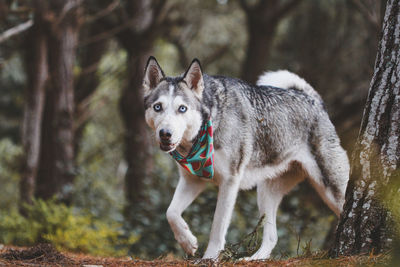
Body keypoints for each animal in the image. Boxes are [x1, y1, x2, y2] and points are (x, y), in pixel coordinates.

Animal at [142, 57, 348, 260]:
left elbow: (217, 227)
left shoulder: (229, 183)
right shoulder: (192, 180)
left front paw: (209, 258)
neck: (213, 117)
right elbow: (171, 212)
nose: (165, 134)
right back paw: (255, 258)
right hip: (265, 194)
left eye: (182, 109)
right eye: (158, 107)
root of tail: (314, 100)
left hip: (332, 190)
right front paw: (187, 241)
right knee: (272, 237)